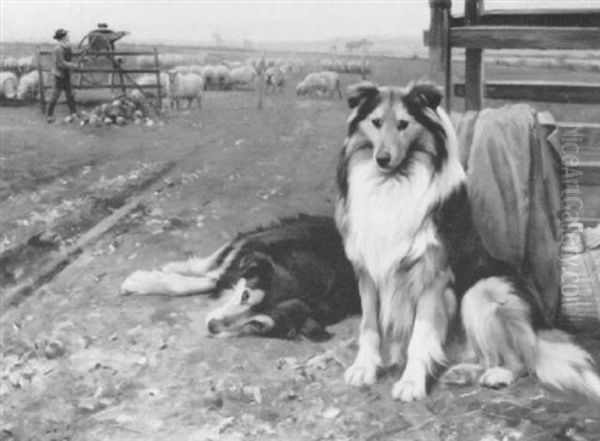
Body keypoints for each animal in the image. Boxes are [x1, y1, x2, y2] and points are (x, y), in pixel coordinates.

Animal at [119, 215, 358, 338]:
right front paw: (142, 281)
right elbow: (211, 275)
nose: (212, 326)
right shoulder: (255, 248)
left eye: (257, 325)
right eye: (245, 296)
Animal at [336, 81, 600, 400]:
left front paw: (411, 382)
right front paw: (364, 369)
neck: (394, 182)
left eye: (403, 124)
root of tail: (537, 327)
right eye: (375, 122)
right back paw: (462, 373)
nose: (382, 159)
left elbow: (419, 338)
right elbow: (369, 327)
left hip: (482, 291)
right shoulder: (368, 273)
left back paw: (498, 375)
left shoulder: (433, 278)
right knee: (486, 357)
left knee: (522, 361)